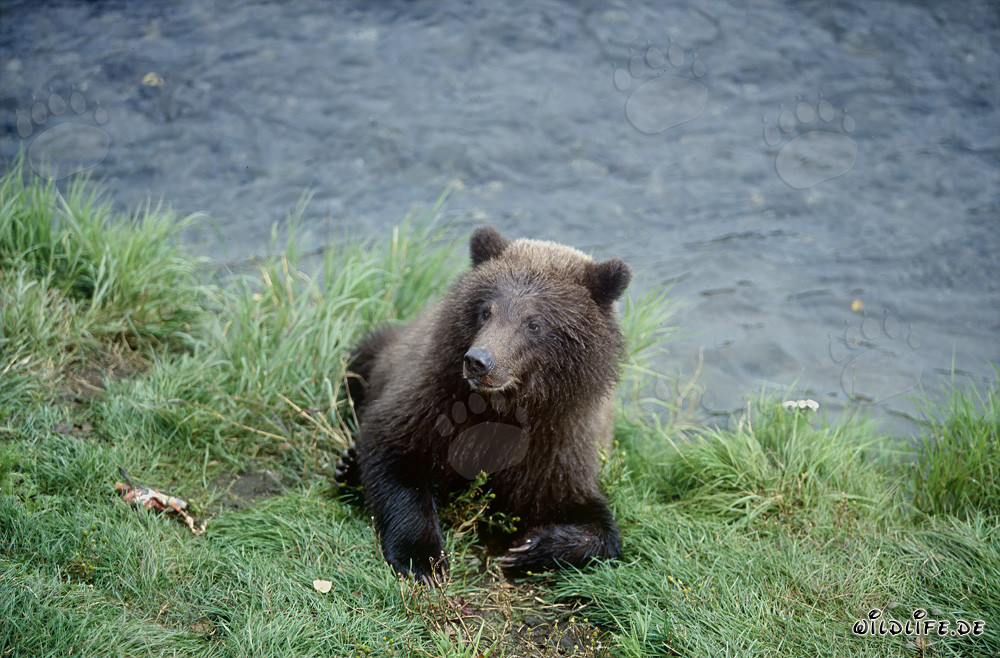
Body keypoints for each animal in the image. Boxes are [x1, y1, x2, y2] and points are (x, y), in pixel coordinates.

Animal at [336, 225, 631, 584]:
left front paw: (527, 549)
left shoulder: (558, 445)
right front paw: (423, 560)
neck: (505, 405)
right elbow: (396, 455)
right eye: (486, 310)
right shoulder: (434, 397)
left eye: (535, 323)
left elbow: (595, 523)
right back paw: (348, 465)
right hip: (382, 352)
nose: (479, 361)